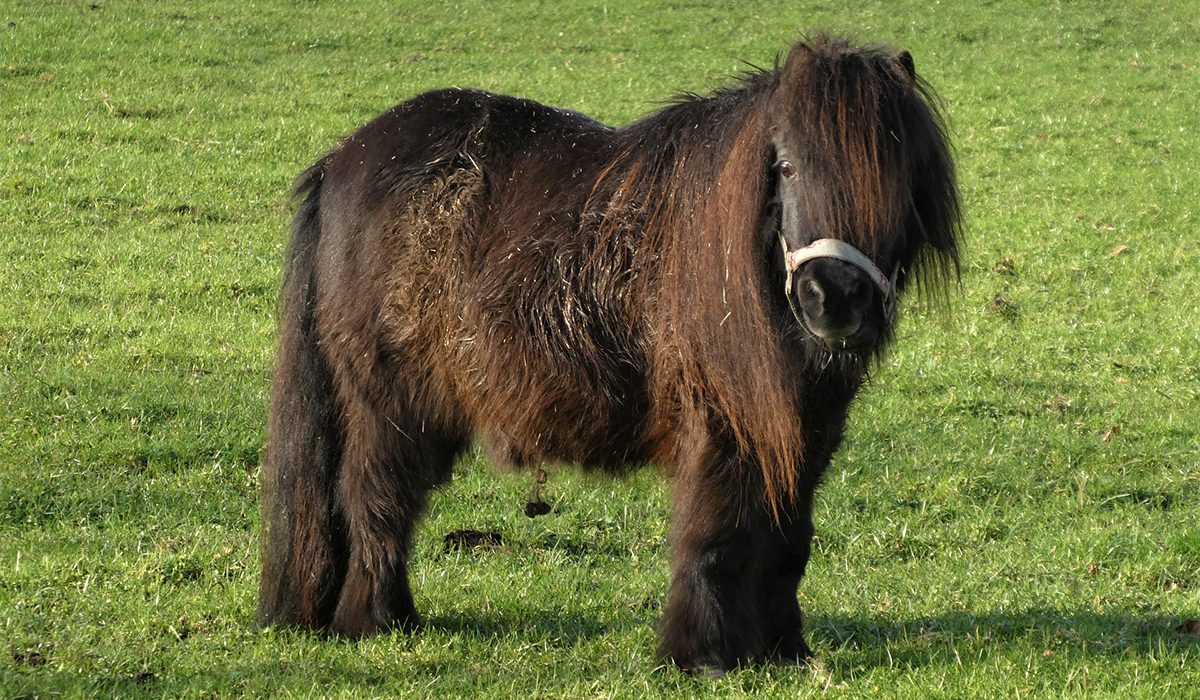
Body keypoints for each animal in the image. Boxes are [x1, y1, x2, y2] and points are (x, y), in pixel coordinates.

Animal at [257, 34, 961, 675]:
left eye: (896, 175)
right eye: (786, 167)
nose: (832, 299)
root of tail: (342, 160)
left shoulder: (804, 431)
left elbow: (787, 542)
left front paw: (783, 652)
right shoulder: (721, 426)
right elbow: (716, 537)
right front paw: (701, 657)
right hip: (390, 405)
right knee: (375, 501)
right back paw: (379, 622)